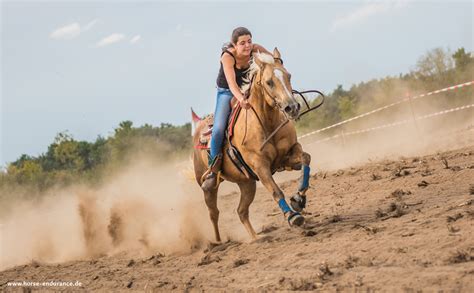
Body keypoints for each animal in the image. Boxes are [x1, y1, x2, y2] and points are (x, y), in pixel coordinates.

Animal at [193, 47, 312, 240]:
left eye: (289, 75)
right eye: (269, 82)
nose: (292, 107)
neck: (266, 123)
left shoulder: (288, 155)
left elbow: (306, 159)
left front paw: (298, 199)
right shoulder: (260, 166)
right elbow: (276, 190)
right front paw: (292, 216)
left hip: (246, 183)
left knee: (241, 211)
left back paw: (257, 238)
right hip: (208, 188)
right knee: (214, 213)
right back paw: (218, 242)